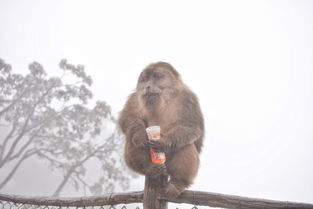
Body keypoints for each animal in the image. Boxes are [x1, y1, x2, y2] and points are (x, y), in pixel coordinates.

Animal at [118, 61, 204, 198]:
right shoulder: (136, 96)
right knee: (130, 137)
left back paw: (177, 183)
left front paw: (164, 142)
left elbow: (191, 127)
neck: (165, 99)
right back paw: (148, 169)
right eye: (146, 78)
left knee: (186, 144)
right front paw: (140, 135)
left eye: (156, 77)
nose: (147, 86)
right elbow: (129, 117)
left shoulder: (188, 98)